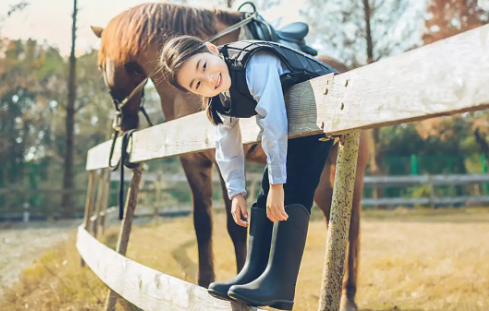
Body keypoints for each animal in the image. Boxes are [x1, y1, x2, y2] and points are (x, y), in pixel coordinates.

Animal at [90, 3, 366, 311]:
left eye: (100, 68)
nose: (122, 125)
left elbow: (235, 227)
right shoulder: (194, 161)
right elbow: (203, 224)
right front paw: (202, 284)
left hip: (347, 167)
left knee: (352, 227)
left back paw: (347, 297)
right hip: (321, 181)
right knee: (332, 220)